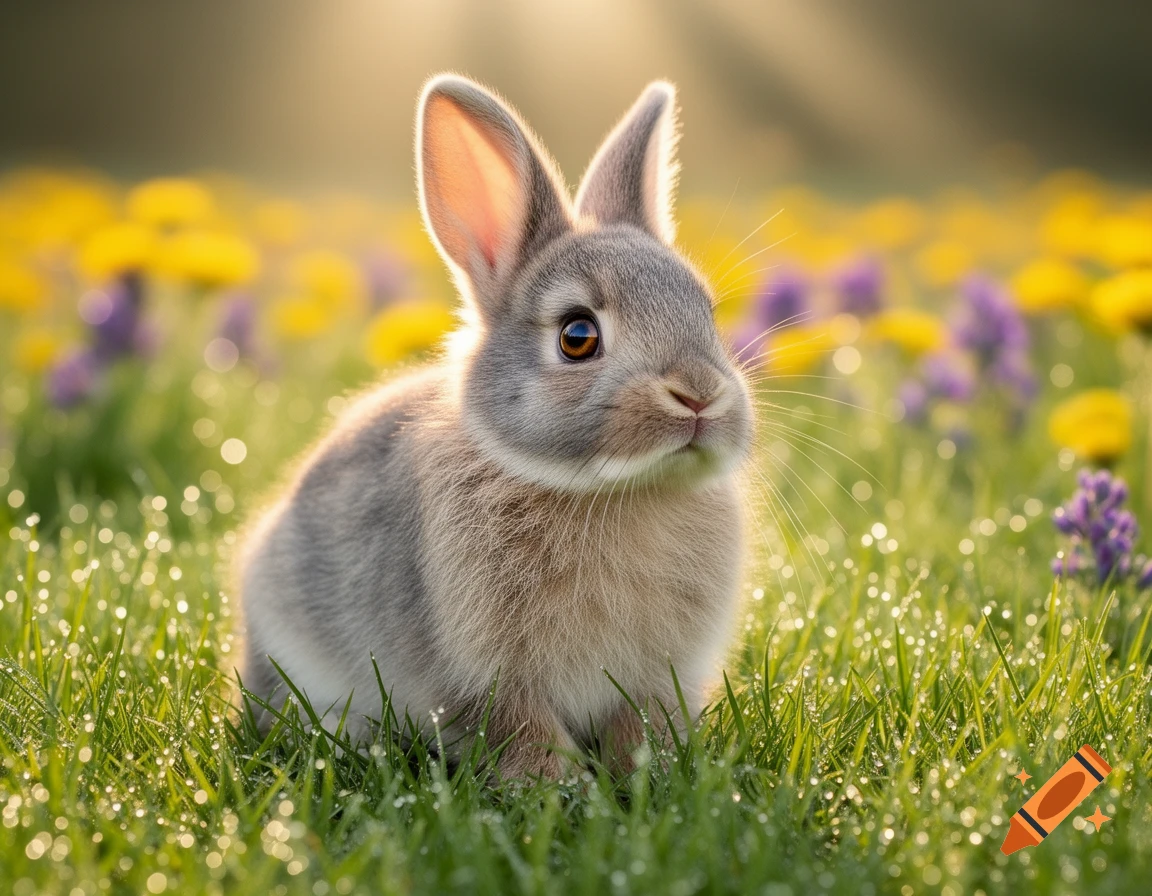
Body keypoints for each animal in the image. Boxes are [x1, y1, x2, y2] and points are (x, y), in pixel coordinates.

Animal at [237, 73, 754, 779]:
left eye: (706, 312)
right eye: (577, 335)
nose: (700, 395)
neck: (609, 490)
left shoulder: (654, 680)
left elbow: (641, 722)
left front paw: (653, 771)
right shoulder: (481, 678)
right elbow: (521, 730)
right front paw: (560, 785)